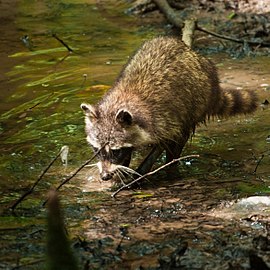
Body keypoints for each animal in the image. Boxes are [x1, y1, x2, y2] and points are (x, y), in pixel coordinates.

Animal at [81, 34, 258, 180]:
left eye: (115, 151)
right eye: (97, 150)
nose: (104, 176)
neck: (121, 100)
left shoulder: (163, 119)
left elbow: (166, 141)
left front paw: (140, 171)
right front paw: (122, 168)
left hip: (195, 103)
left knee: (180, 140)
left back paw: (171, 167)